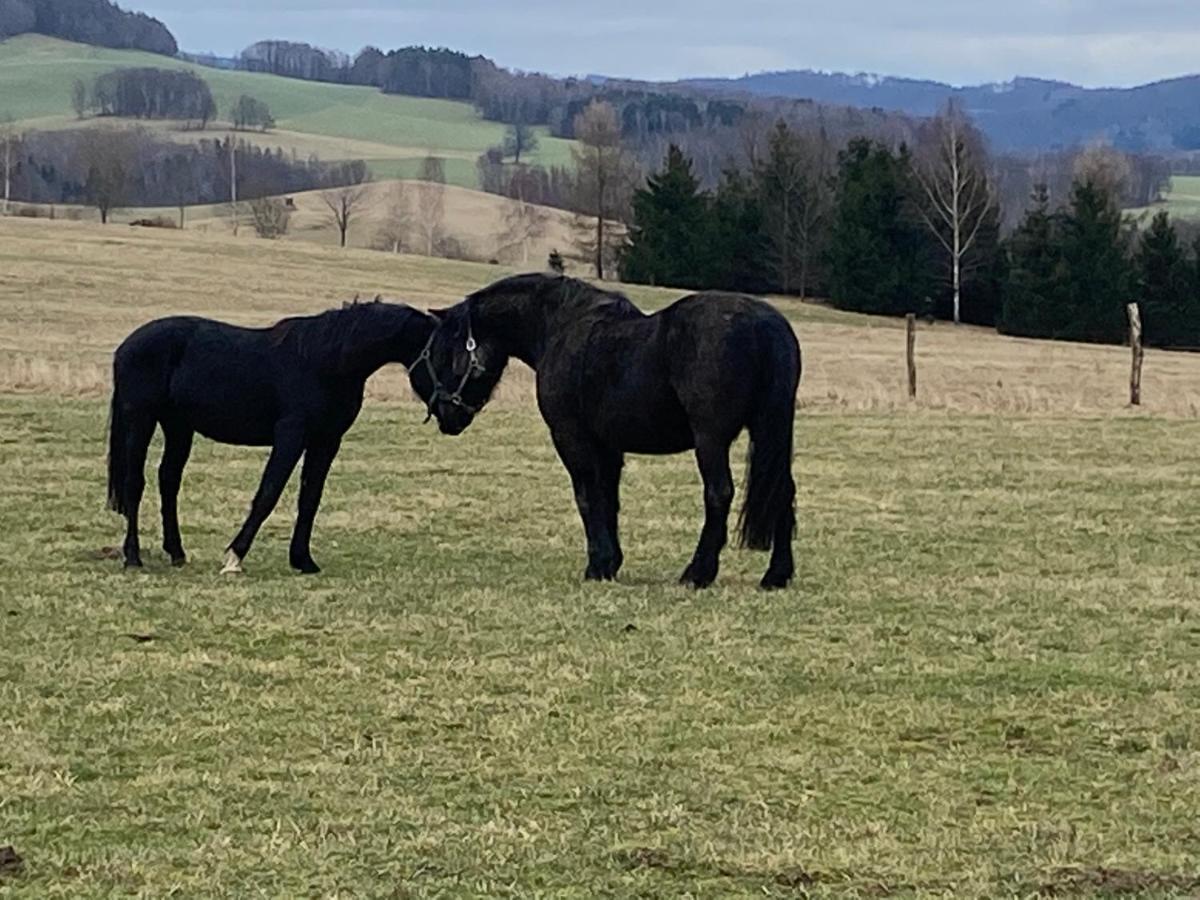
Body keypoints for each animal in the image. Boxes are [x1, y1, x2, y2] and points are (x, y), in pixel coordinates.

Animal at [108, 300, 436, 573]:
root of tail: (125, 347)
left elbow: (310, 498)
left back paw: (176, 553)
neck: (325, 361)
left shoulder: (326, 440)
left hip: (178, 426)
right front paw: (234, 558)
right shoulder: (291, 434)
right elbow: (269, 492)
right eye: (442, 352)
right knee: (135, 483)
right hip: (141, 420)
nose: (449, 414)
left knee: (169, 480)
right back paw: (133, 557)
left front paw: (303, 560)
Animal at [417, 274, 801, 592]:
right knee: (782, 491)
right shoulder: (609, 447)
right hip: (771, 431)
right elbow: (609, 499)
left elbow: (587, 497)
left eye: (445, 352)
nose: (445, 415)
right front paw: (611, 563)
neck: (561, 327)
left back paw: (698, 573)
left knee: (718, 493)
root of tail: (765, 325)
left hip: (711, 440)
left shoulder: (572, 439)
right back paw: (775, 576)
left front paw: (597, 566)